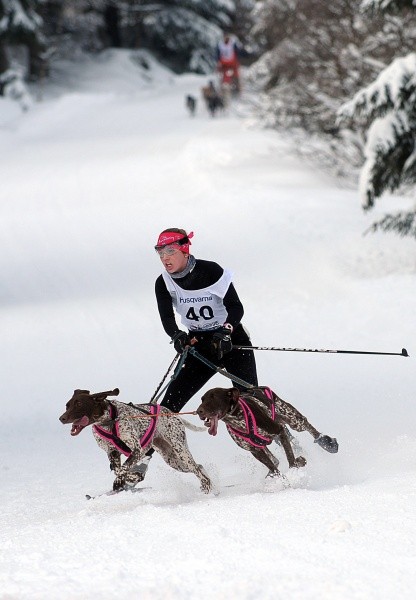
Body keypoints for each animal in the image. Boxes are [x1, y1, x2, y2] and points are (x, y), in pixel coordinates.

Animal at [59, 390, 211, 492]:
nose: (62, 418)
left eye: (79, 404)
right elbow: (118, 470)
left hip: (181, 452)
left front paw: (128, 478)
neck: (109, 420)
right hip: (172, 460)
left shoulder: (137, 450)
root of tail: (174, 415)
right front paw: (129, 478)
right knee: (198, 467)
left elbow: (123, 468)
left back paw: (207, 485)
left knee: (197, 470)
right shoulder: (112, 452)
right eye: (67, 405)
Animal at [196, 390, 338, 478]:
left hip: (294, 420)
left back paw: (326, 442)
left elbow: (291, 459)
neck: (238, 417)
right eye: (202, 399)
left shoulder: (279, 430)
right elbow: (274, 466)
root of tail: (256, 388)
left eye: (213, 397)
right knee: (274, 460)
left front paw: (294, 470)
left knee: (309, 427)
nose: (198, 411)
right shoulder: (255, 450)